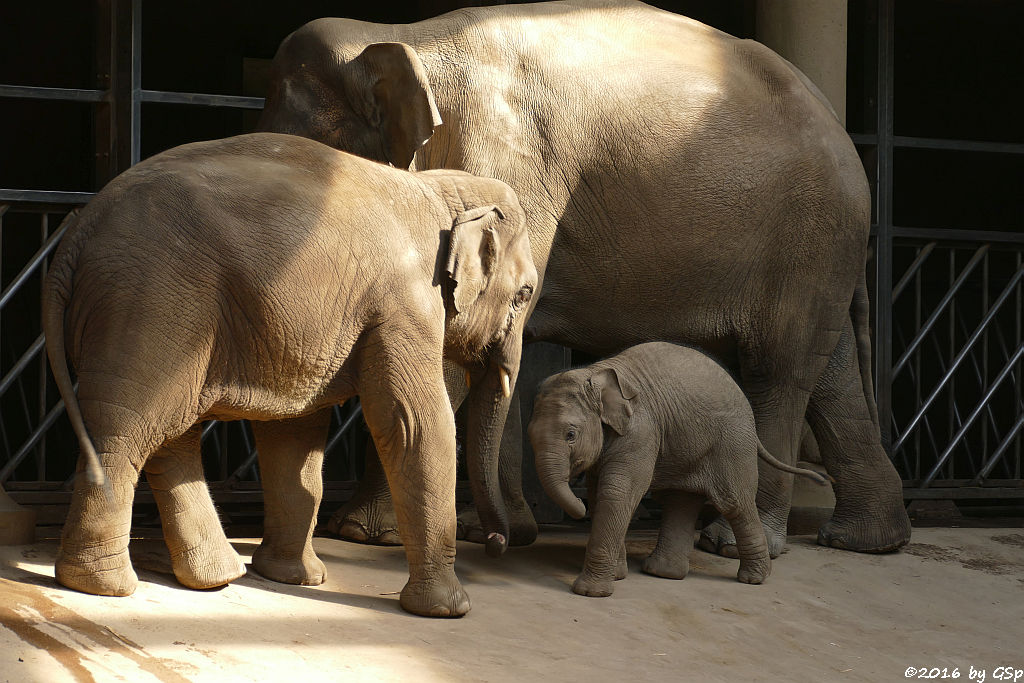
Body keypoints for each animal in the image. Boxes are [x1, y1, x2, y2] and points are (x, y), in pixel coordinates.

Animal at [41, 131, 536, 618]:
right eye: (525, 293)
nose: (497, 543)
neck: (441, 189)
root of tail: (79, 231)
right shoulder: (405, 304)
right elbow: (416, 425)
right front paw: (450, 609)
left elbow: (294, 435)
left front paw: (293, 579)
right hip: (150, 300)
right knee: (129, 430)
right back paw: (104, 587)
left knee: (169, 432)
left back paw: (214, 578)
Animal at [258, 0, 913, 557]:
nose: (502, 539)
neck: (400, 36)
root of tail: (841, 130)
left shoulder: (500, 161)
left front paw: (366, 536)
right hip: (817, 252)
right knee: (828, 376)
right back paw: (865, 541)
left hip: (809, 237)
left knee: (776, 372)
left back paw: (731, 544)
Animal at [532, 344, 827, 593]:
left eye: (571, 435)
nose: (577, 511)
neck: (595, 372)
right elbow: (598, 493)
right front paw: (617, 575)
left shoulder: (642, 430)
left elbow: (617, 491)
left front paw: (590, 592)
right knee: (680, 501)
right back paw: (662, 572)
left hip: (733, 444)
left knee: (735, 503)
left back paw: (753, 579)